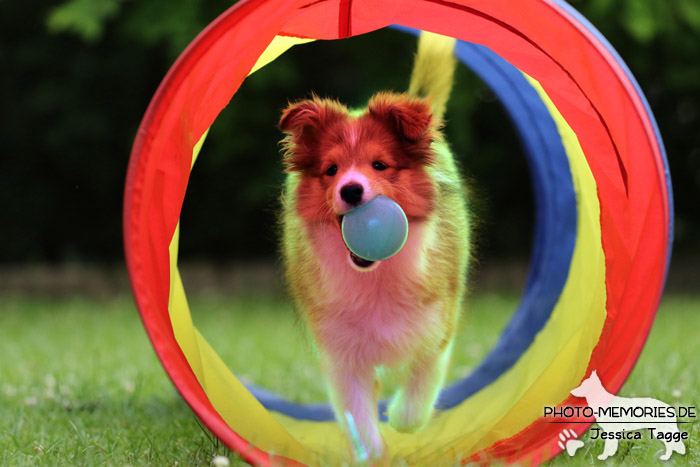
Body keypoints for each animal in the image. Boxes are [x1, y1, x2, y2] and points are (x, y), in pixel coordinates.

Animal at [276, 33, 468, 460]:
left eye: (380, 165)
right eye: (331, 170)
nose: (350, 190)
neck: (375, 275)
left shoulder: (436, 328)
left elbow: (420, 388)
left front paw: (399, 419)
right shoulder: (340, 349)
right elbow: (356, 412)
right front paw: (373, 452)